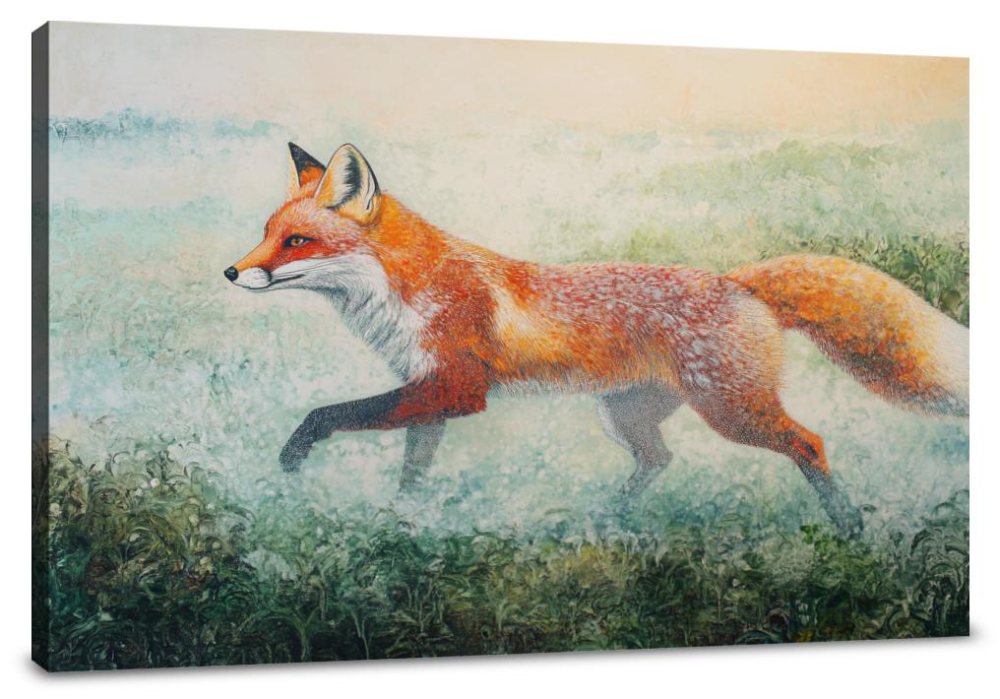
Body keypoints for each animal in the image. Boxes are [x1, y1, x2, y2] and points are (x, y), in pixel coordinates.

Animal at [225, 142, 969, 537]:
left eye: (297, 241)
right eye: (266, 233)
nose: (232, 272)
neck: (401, 292)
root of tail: (737, 281)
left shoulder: (457, 387)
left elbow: (327, 414)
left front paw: (290, 463)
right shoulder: (429, 392)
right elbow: (412, 469)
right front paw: (401, 520)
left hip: (733, 411)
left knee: (807, 442)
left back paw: (850, 526)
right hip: (625, 414)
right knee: (659, 459)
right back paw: (607, 521)